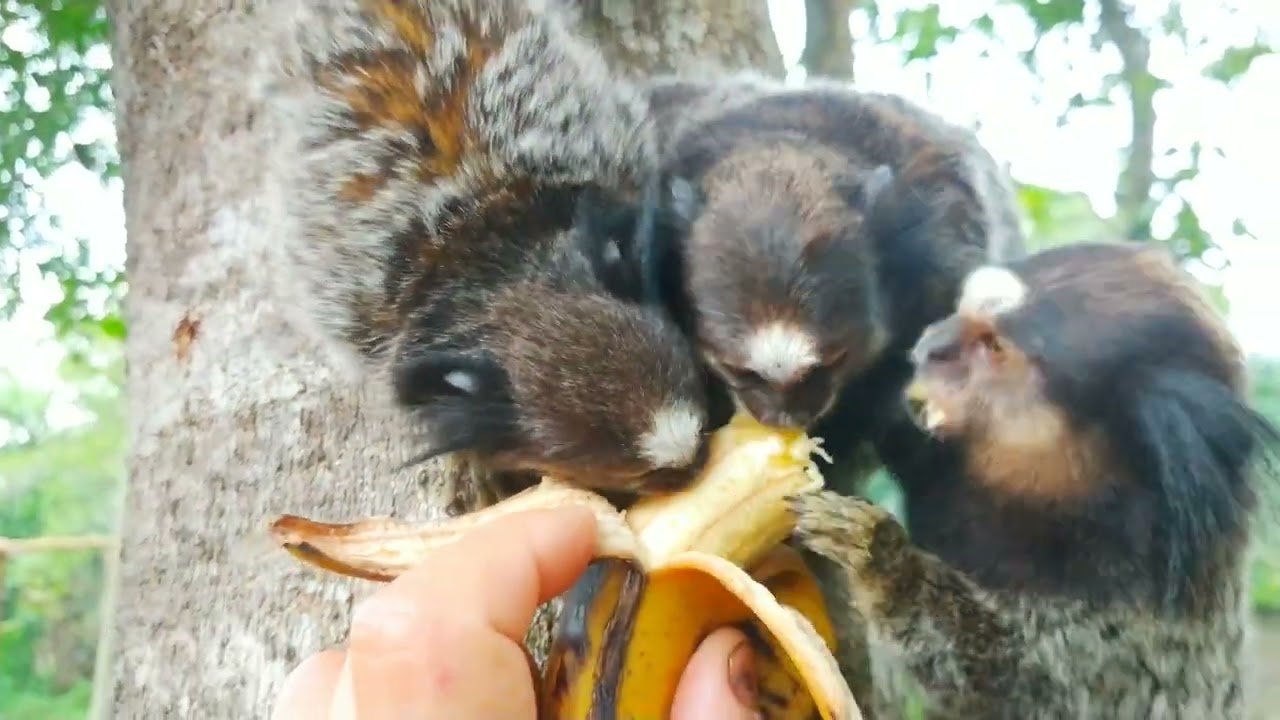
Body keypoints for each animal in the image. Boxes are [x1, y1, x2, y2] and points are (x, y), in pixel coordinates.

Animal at [788, 241, 1280, 718]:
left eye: (995, 348)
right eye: (964, 314)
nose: (932, 344)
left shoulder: (1126, 618)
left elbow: (1020, 686)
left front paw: (882, 556)